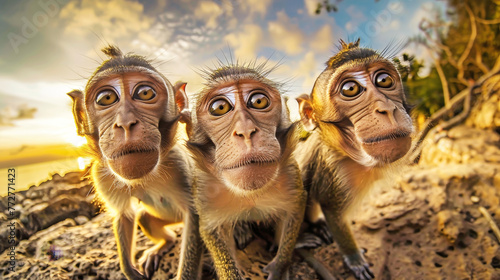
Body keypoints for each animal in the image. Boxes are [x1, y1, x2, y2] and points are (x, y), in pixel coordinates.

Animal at [67, 44, 202, 278]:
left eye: (145, 93)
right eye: (106, 98)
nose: (126, 123)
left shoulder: (179, 165)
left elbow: (193, 215)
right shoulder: (101, 175)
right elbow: (124, 215)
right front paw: (129, 270)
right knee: (144, 218)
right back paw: (164, 244)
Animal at [186, 62, 306, 278]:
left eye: (258, 101)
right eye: (220, 107)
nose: (246, 131)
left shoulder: (290, 175)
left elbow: (294, 209)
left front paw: (278, 268)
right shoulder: (204, 189)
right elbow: (212, 230)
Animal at [294, 40, 412, 280]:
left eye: (384, 80)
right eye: (351, 89)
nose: (387, 108)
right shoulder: (333, 171)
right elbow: (332, 210)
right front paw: (354, 258)